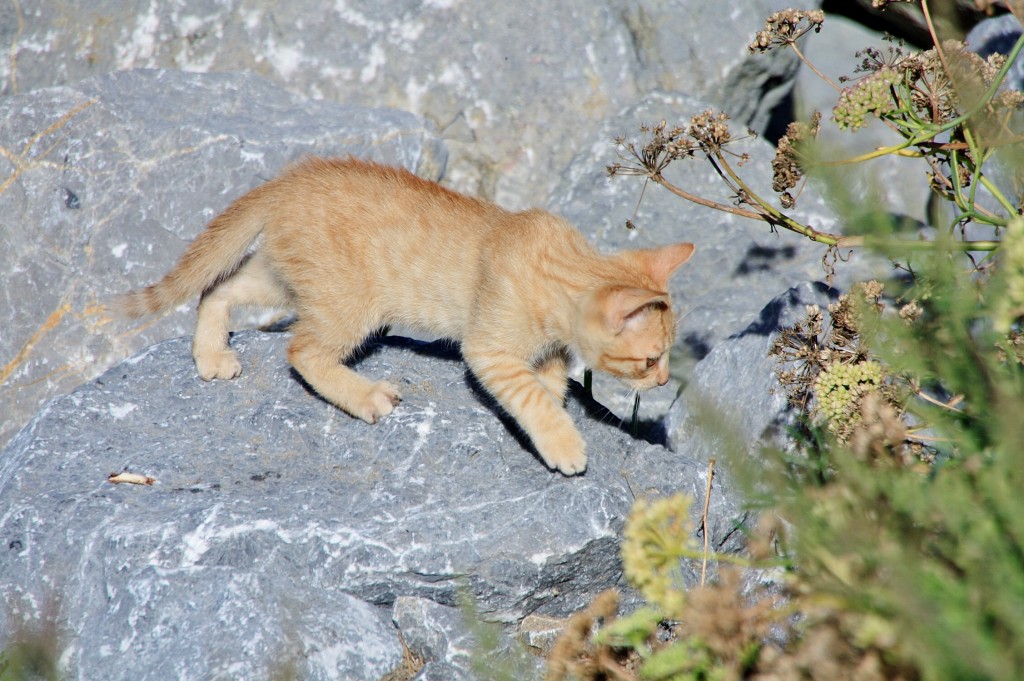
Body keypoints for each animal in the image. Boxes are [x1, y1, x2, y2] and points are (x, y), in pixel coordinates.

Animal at [119, 155, 696, 473]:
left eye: (668, 358)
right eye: (651, 360)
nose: (664, 382)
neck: (559, 266)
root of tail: (288, 180)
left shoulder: (547, 353)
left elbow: (549, 385)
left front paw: (554, 412)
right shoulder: (486, 347)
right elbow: (529, 393)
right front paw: (561, 442)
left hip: (284, 278)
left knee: (217, 287)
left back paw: (211, 353)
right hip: (347, 301)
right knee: (301, 350)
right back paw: (364, 396)